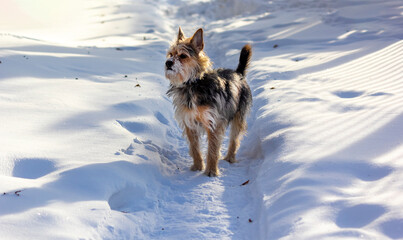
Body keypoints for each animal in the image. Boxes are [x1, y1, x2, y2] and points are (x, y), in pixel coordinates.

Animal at [166, 27, 251, 177]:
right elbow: (195, 147)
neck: (193, 84)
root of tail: (238, 73)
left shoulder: (214, 123)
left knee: (235, 139)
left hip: (238, 116)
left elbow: (212, 149)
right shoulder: (189, 123)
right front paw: (197, 166)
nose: (168, 62)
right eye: (170, 54)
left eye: (183, 56)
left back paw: (230, 157)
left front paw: (211, 171)